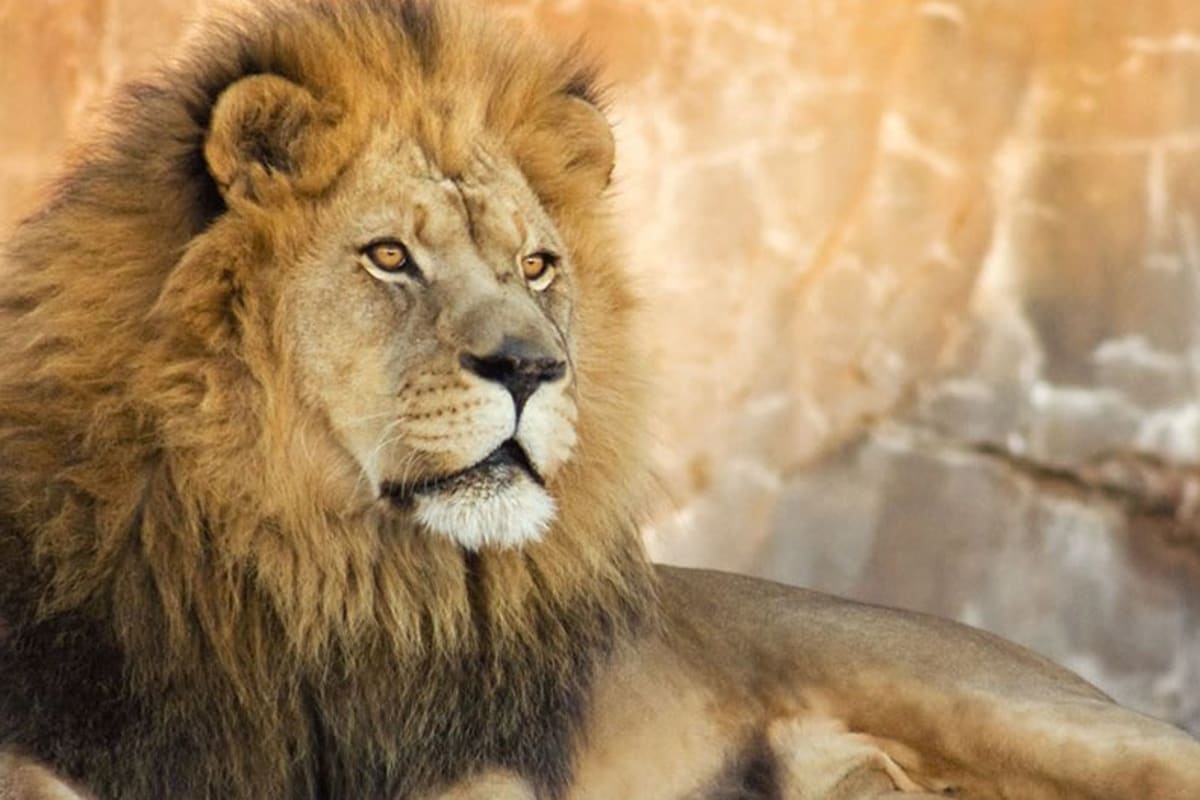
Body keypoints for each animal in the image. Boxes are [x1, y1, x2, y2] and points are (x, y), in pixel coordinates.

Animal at [0, 1, 1197, 798]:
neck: (323, 576)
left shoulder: (479, 767)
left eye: (536, 267)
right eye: (389, 257)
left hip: (1021, 711)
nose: (534, 368)